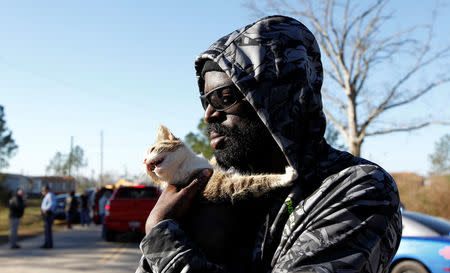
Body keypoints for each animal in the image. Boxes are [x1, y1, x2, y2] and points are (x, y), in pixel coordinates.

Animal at [141, 125, 296, 202]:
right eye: (146, 169)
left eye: (153, 149)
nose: (145, 162)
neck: (186, 165)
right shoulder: (220, 185)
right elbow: (252, 181)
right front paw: (285, 176)